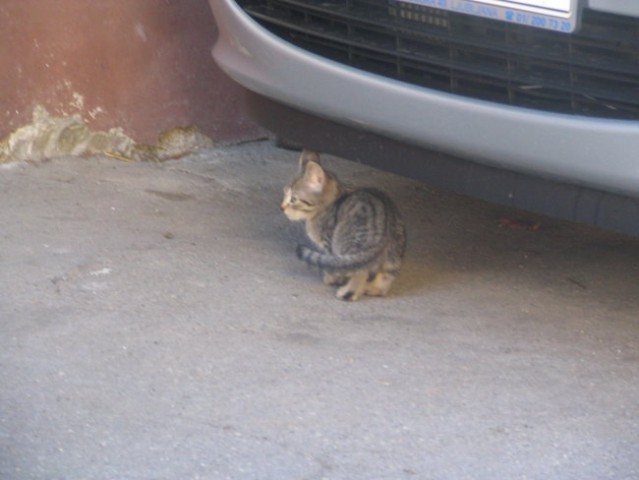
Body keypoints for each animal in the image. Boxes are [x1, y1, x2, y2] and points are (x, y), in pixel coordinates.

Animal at [282, 150, 408, 300]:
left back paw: (348, 292)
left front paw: (332, 278)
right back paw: (373, 288)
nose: (282, 207)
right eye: (284, 193)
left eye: (293, 199)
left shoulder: (329, 244)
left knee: (360, 271)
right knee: (386, 277)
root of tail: (387, 226)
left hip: (348, 246)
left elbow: (334, 265)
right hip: (394, 255)